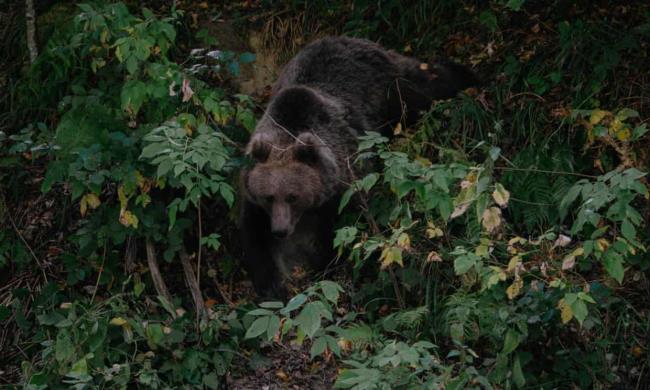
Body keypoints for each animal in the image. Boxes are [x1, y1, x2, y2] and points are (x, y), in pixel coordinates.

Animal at [238, 37, 476, 298]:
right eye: (269, 197)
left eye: (292, 196)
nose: (280, 230)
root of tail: (361, 41)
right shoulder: (254, 201)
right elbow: (252, 238)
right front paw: (270, 285)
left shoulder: (343, 187)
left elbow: (341, 232)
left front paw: (326, 269)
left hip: (391, 90)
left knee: (423, 88)